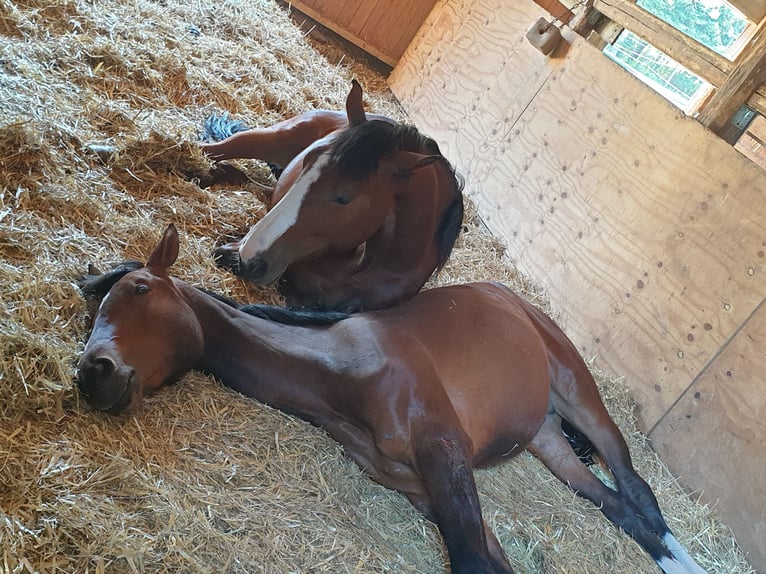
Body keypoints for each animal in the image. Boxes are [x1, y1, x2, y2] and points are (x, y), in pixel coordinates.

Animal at [76, 224, 707, 574]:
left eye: (139, 289)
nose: (93, 373)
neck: (344, 370)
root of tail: (509, 293)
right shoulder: (423, 489)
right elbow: (491, 562)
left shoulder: (444, 454)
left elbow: (472, 562)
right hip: (547, 440)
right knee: (617, 507)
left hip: (579, 391)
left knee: (638, 489)